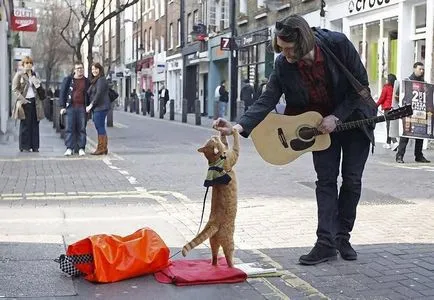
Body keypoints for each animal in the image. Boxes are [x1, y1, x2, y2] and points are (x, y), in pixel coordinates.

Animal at [181, 128, 241, 268]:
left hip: (213, 241)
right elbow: (236, 143)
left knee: (214, 257)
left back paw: (214, 265)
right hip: (229, 241)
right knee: (228, 258)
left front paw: (223, 130)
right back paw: (233, 267)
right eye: (212, 140)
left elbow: (226, 142)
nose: (214, 135)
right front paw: (234, 130)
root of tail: (213, 222)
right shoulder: (234, 154)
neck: (215, 161)